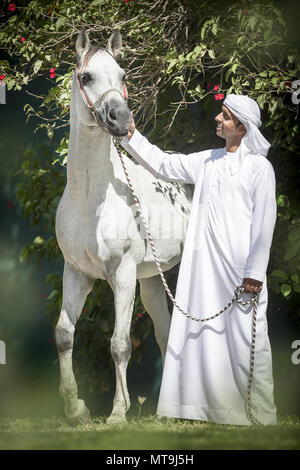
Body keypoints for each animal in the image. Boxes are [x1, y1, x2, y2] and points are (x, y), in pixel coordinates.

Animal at [54, 29, 193, 426]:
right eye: (86, 77)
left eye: (123, 75)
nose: (120, 119)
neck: (91, 200)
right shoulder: (77, 272)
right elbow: (64, 335)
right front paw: (76, 409)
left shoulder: (123, 272)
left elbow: (119, 344)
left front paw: (117, 413)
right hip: (153, 281)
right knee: (165, 333)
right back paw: (168, 411)